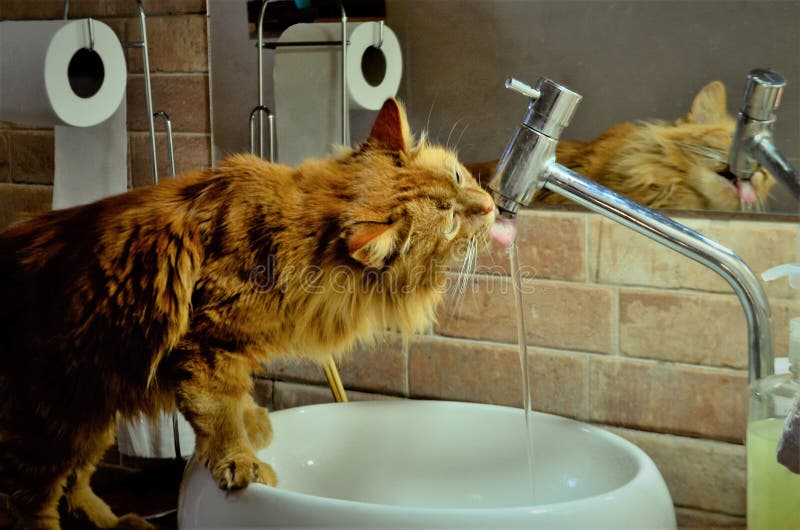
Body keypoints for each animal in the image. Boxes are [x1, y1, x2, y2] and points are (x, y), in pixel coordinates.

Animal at [0, 100, 496, 528]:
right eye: (451, 220)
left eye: (459, 176)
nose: (492, 206)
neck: (295, 243)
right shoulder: (205, 343)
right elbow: (217, 409)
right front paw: (241, 461)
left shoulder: (225, 348)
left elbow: (236, 397)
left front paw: (256, 424)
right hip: (49, 427)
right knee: (30, 504)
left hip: (94, 416)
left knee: (77, 484)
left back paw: (120, 521)